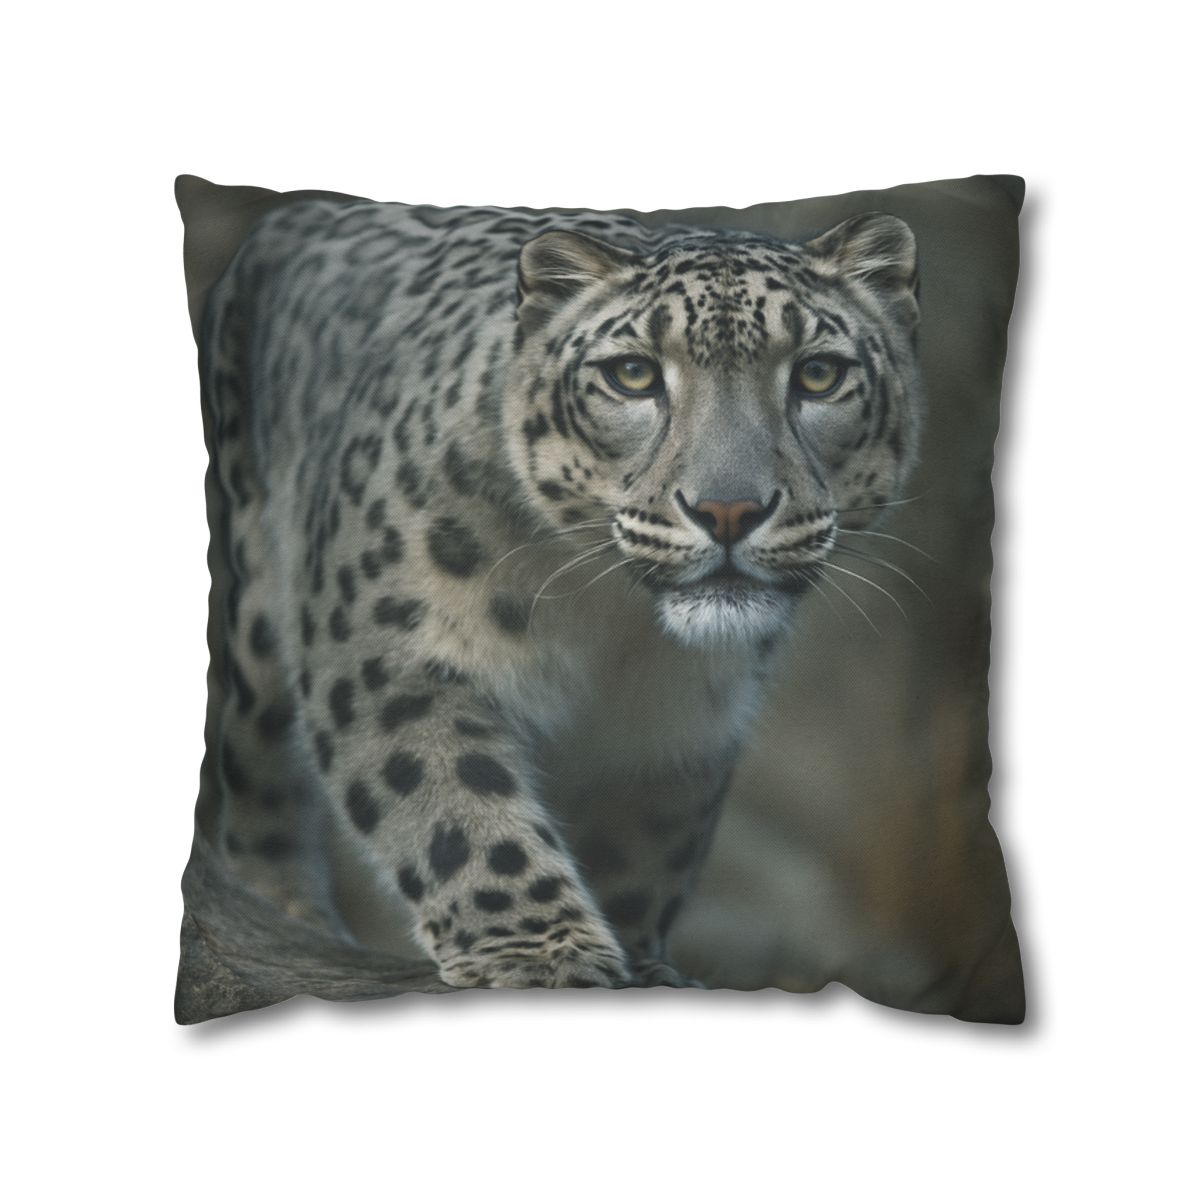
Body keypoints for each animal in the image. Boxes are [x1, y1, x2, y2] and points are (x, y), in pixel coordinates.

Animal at [200, 196, 923, 990]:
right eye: (633, 374)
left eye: (819, 374)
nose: (728, 510)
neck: (611, 627)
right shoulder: (390, 649)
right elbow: (450, 798)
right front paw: (540, 954)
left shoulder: (680, 728)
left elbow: (644, 847)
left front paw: (642, 963)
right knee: (257, 782)